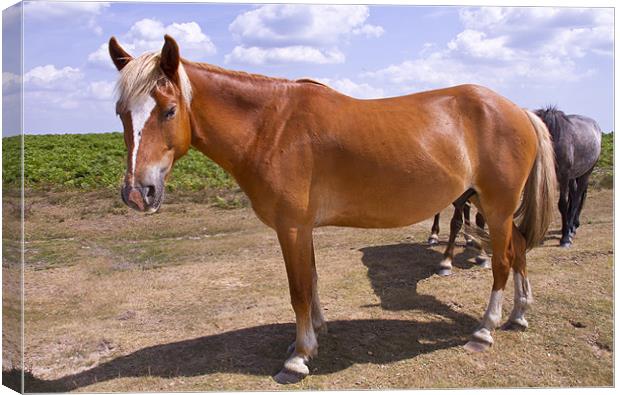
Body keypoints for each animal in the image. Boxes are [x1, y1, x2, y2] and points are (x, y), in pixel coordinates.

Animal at [108, 34, 556, 384]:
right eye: (121, 114)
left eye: (168, 110)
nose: (138, 193)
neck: (272, 127)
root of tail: (519, 110)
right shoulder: (302, 228)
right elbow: (312, 280)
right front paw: (315, 334)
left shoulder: (290, 227)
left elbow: (298, 290)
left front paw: (298, 357)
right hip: (487, 204)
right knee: (518, 250)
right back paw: (519, 314)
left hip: (497, 208)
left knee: (502, 262)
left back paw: (485, 330)